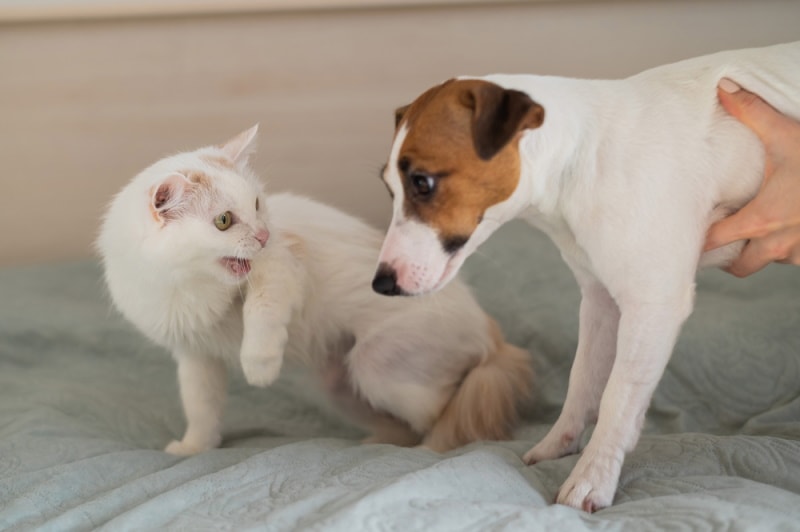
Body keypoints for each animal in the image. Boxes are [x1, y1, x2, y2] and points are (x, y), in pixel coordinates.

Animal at [97, 124, 536, 454]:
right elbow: (201, 407)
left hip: (381, 369)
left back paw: (428, 449)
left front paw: (259, 368)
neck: (188, 285)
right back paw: (378, 444)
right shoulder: (195, 355)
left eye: (257, 205)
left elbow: (261, 314)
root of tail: (494, 338)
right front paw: (193, 449)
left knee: (448, 409)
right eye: (223, 221)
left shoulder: (282, 264)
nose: (262, 234)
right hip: (340, 385)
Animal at [372, 42, 800, 512]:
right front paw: (559, 444)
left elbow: (618, 397)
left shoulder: (653, 305)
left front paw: (592, 477)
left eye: (423, 183)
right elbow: (583, 380)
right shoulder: (600, 301)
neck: (582, 158)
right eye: (390, 189)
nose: (381, 284)